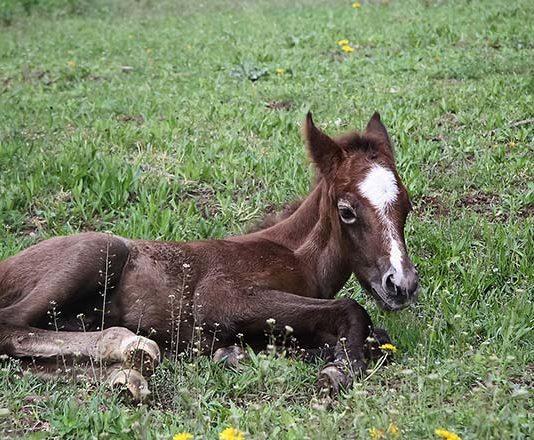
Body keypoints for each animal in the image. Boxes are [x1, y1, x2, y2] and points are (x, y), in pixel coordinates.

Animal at [0, 112, 418, 398]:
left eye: (407, 206)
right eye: (347, 210)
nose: (401, 285)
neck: (296, 256)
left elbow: (377, 338)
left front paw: (241, 353)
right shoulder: (219, 298)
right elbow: (353, 309)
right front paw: (339, 368)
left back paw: (126, 375)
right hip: (101, 250)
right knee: (10, 328)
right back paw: (129, 346)